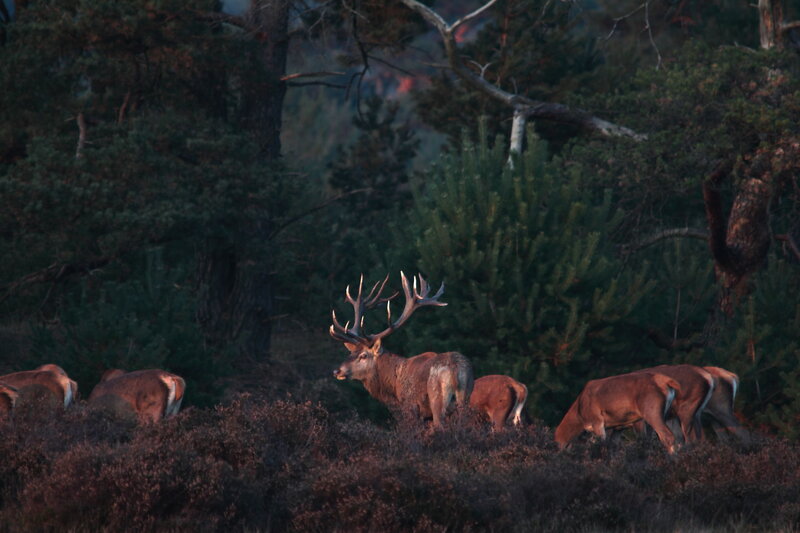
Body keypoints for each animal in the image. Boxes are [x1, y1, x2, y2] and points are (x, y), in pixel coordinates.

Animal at [330, 272, 474, 428]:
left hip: (437, 399)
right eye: (351, 352)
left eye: (363, 355)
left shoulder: (410, 409)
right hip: (466, 398)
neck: (392, 387)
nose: (337, 371)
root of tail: (454, 369)